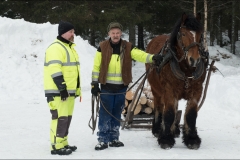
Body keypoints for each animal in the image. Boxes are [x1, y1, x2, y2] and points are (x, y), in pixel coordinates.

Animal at [145, 13, 209, 149]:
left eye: (200, 34)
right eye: (183, 34)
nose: (194, 60)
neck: (186, 69)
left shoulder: (197, 90)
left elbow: (190, 114)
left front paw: (192, 139)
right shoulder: (169, 89)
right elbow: (169, 113)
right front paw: (165, 139)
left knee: (175, 108)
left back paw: (174, 130)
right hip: (156, 89)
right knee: (159, 106)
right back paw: (157, 129)